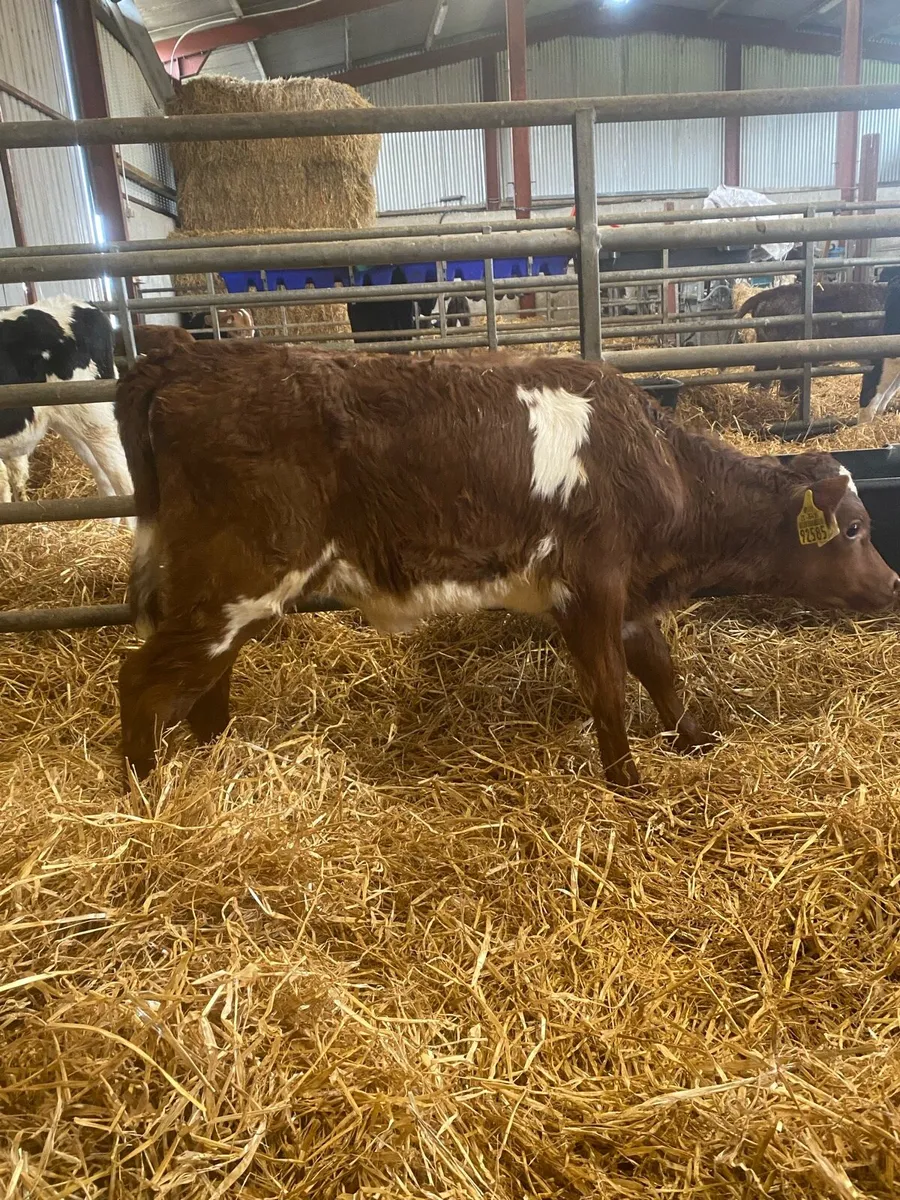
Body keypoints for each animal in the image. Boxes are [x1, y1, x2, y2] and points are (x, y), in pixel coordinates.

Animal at [114, 342, 898, 787]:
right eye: (855, 528)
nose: (894, 583)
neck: (659, 464)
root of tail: (193, 358)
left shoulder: (629, 595)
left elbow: (661, 671)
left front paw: (693, 738)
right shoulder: (590, 587)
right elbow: (610, 688)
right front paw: (628, 782)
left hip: (232, 593)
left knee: (205, 676)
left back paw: (215, 756)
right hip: (235, 579)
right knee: (142, 678)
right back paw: (145, 792)